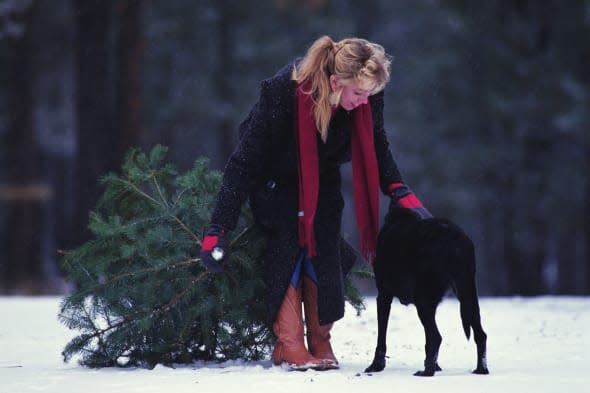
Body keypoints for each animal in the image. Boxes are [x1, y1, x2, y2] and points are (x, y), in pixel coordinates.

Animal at [366, 204, 490, 376]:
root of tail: (456, 239)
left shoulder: (384, 295)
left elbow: (381, 336)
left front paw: (376, 365)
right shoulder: (433, 304)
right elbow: (427, 342)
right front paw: (435, 365)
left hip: (423, 300)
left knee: (437, 337)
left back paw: (427, 372)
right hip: (467, 295)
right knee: (480, 335)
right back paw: (481, 369)